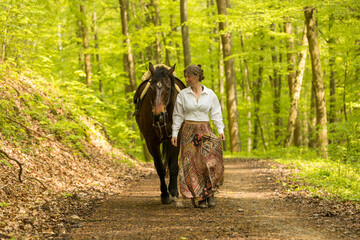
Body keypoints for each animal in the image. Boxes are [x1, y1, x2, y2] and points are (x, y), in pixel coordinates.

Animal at [134, 62, 187, 204]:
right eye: (151, 88)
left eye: (168, 88)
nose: (158, 115)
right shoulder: (151, 141)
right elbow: (159, 167)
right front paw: (165, 194)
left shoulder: (176, 137)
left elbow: (173, 166)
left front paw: (173, 192)